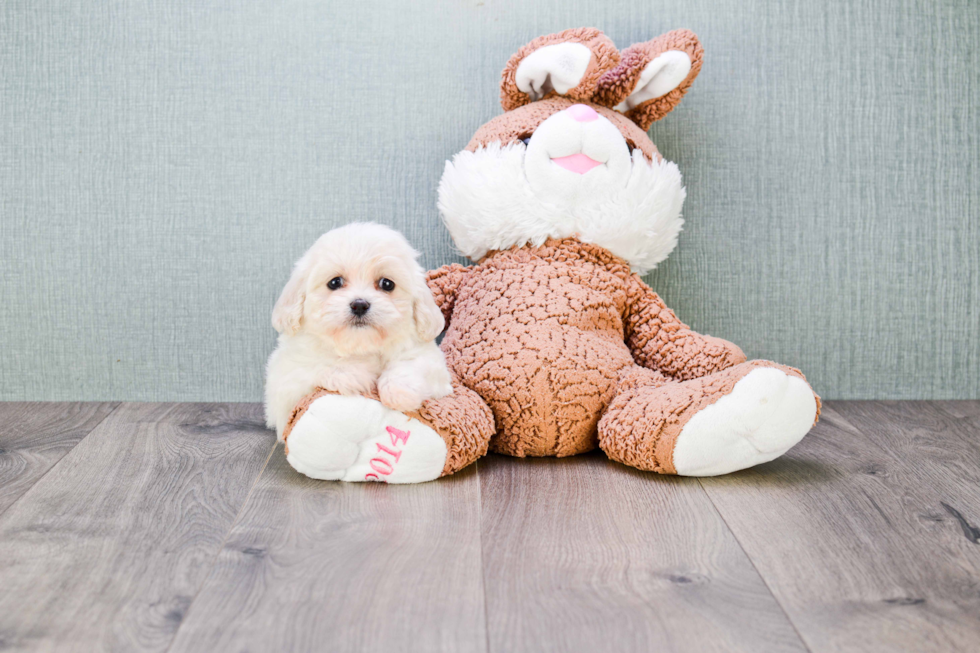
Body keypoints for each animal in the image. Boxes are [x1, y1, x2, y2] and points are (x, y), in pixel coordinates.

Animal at [266, 222, 454, 440]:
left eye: (387, 284)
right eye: (334, 282)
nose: (359, 305)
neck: (360, 344)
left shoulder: (432, 364)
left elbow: (413, 364)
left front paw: (400, 392)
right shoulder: (285, 381)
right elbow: (317, 367)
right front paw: (355, 374)